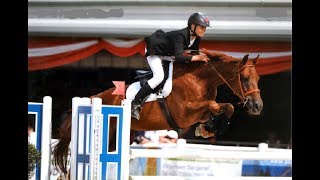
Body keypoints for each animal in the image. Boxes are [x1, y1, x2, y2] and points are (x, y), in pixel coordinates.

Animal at [52, 48, 262, 175]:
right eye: (244, 79)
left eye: (258, 78)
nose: (257, 107)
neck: (200, 80)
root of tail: (95, 97)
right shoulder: (184, 114)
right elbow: (214, 105)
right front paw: (207, 128)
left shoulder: (197, 112)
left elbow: (226, 107)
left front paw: (206, 129)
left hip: (121, 137)